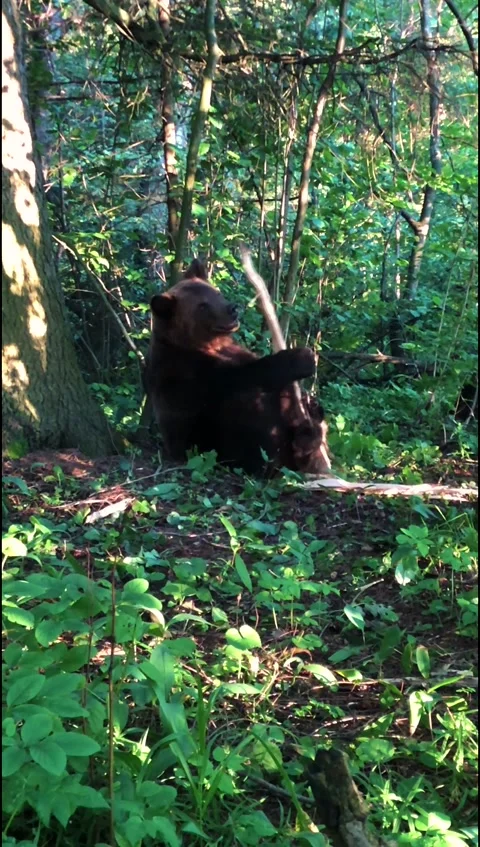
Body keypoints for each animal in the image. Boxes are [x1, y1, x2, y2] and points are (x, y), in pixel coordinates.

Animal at [144, 259, 329, 475]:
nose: (232, 308)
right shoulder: (188, 372)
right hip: (214, 436)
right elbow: (246, 377)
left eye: (216, 293)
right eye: (202, 306)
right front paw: (302, 358)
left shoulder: (231, 352)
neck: (208, 344)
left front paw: (308, 398)